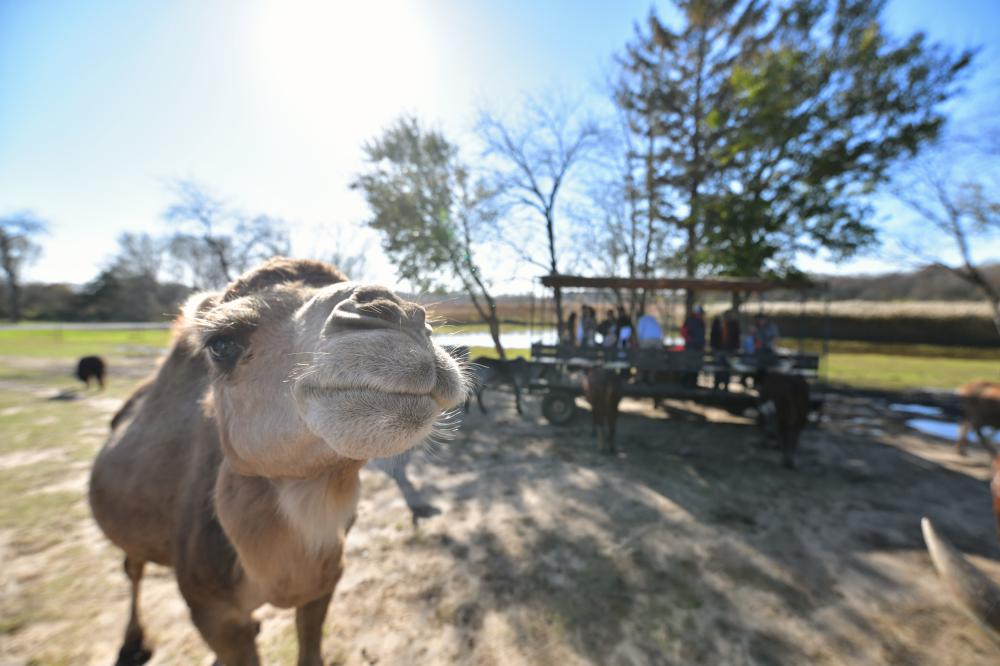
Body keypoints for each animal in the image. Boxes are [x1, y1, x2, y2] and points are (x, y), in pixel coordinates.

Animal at [88, 258, 462, 664]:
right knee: (132, 566)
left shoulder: (324, 582)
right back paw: (133, 641)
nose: (397, 314)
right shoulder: (210, 609)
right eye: (221, 343)